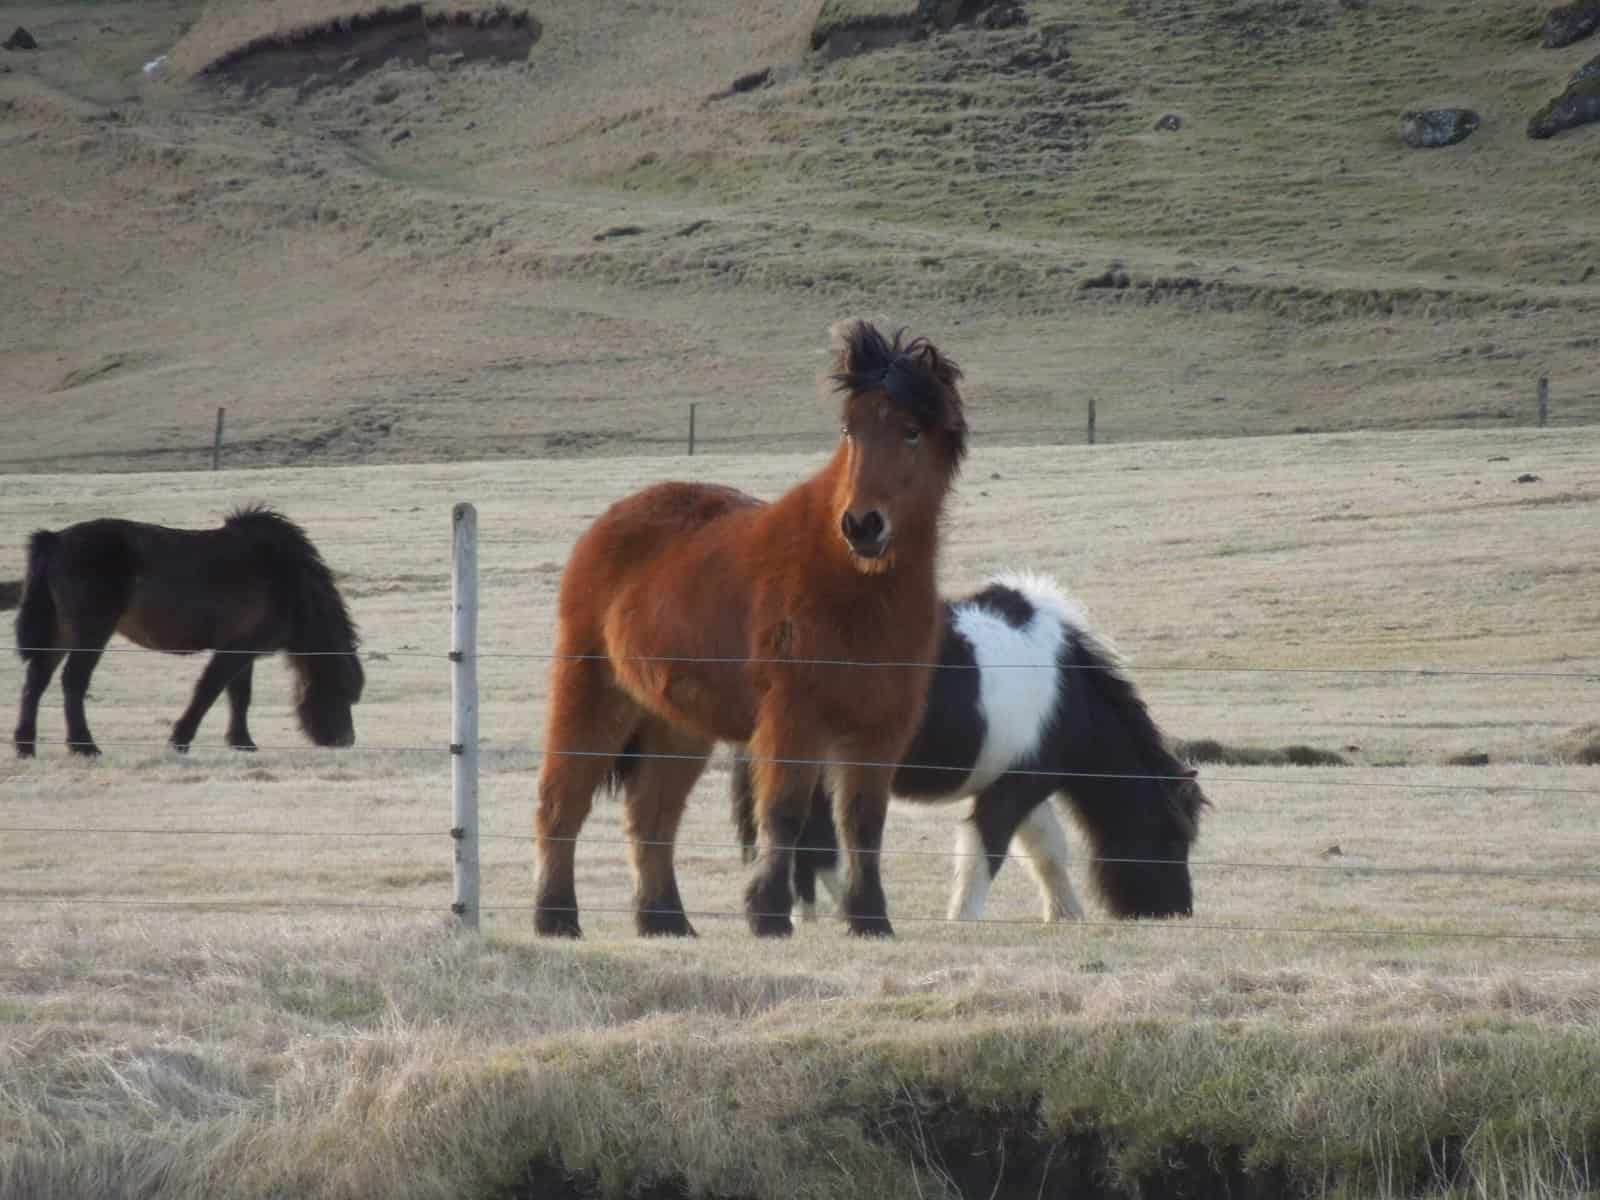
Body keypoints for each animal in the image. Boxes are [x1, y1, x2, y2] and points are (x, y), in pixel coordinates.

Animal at [12, 505, 364, 757]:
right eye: (341, 689)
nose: (345, 739)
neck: (286, 577)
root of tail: (55, 540)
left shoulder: (243, 650)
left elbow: (240, 696)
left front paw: (242, 742)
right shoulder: (234, 651)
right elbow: (208, 691)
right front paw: (180, 740)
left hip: (61, 633)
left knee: (37, 680)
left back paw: (26, 745)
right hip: (90, 633)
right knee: (72, 681)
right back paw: (84, 746)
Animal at [534, 319, 968, 939]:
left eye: (911, 431)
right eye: (849, 429)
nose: (862, 525)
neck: (851, 585)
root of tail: (606, 526)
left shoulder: (880, 730)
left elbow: (863, 824)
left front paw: (870, 920)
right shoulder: (792, 720)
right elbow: (784, 813)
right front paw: (767, 914)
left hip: (676, 726)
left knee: (652, 816)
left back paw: (665, 921)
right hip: (593, 694)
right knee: (561, 801)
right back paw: (556, 918)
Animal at [731, 572, 1208, 923]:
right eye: (1174, 839)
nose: (1177, 911)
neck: (1069, 694)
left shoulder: (1021, 783)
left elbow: (1047, 849)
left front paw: (1065, 914)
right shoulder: (1013, 789)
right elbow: (985, 848)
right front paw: (963, 919)